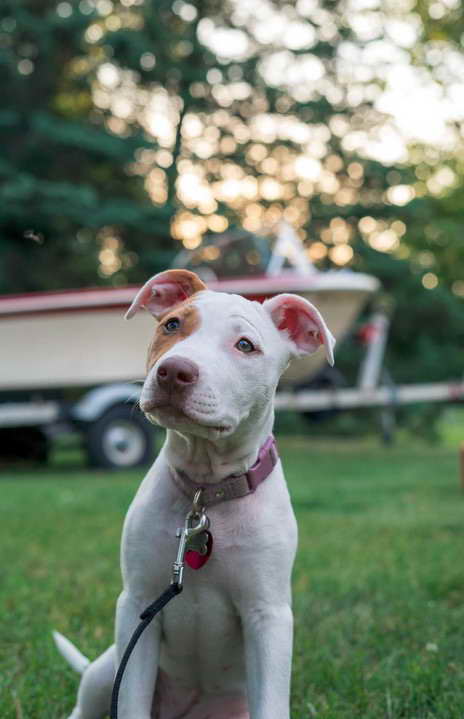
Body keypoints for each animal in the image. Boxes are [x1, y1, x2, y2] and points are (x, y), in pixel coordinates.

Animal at [55, 270, 334, 719]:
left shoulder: (268, 616)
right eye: (171, 325)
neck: (206, 491)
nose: (174, 371)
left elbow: (272, 702)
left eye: (245, 345)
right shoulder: (137, 606)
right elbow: (129, 702)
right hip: (109, 665)